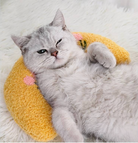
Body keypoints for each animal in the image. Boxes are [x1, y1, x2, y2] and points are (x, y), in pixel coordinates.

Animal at [11, 9, 138, 142]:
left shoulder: (92, 63)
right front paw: (77, 139)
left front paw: (109, 60)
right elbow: (58, 117)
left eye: (59, 41)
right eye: (42, 51)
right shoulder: (61, 105)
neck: (64, 69)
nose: (54, 53)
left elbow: (94, 45)